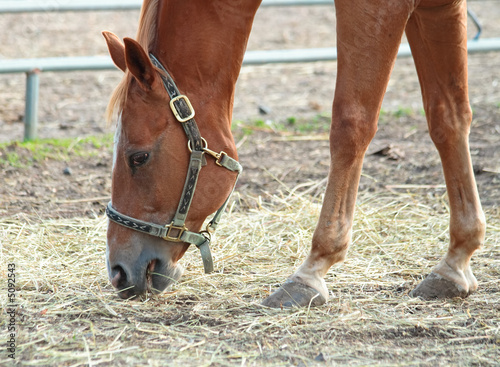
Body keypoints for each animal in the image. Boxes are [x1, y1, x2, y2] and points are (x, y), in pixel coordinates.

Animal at [102, 0, 484, 306]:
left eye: (138, 157)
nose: (118, 272)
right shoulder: (439, 6)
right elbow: (448, 118)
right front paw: (455, 263)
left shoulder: (378, 8)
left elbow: (351, 125)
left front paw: (312, 271)